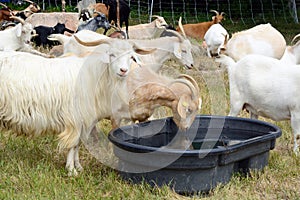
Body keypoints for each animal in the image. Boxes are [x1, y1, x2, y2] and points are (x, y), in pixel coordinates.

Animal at [0, 37, 155, 175]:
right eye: (112, 54)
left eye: (131, 57)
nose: (123, 70)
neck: (96, 76)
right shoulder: (75, 118)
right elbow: (74, 143)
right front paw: (71, 170)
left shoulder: (85, 121)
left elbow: (79, 143)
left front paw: (78, 167)